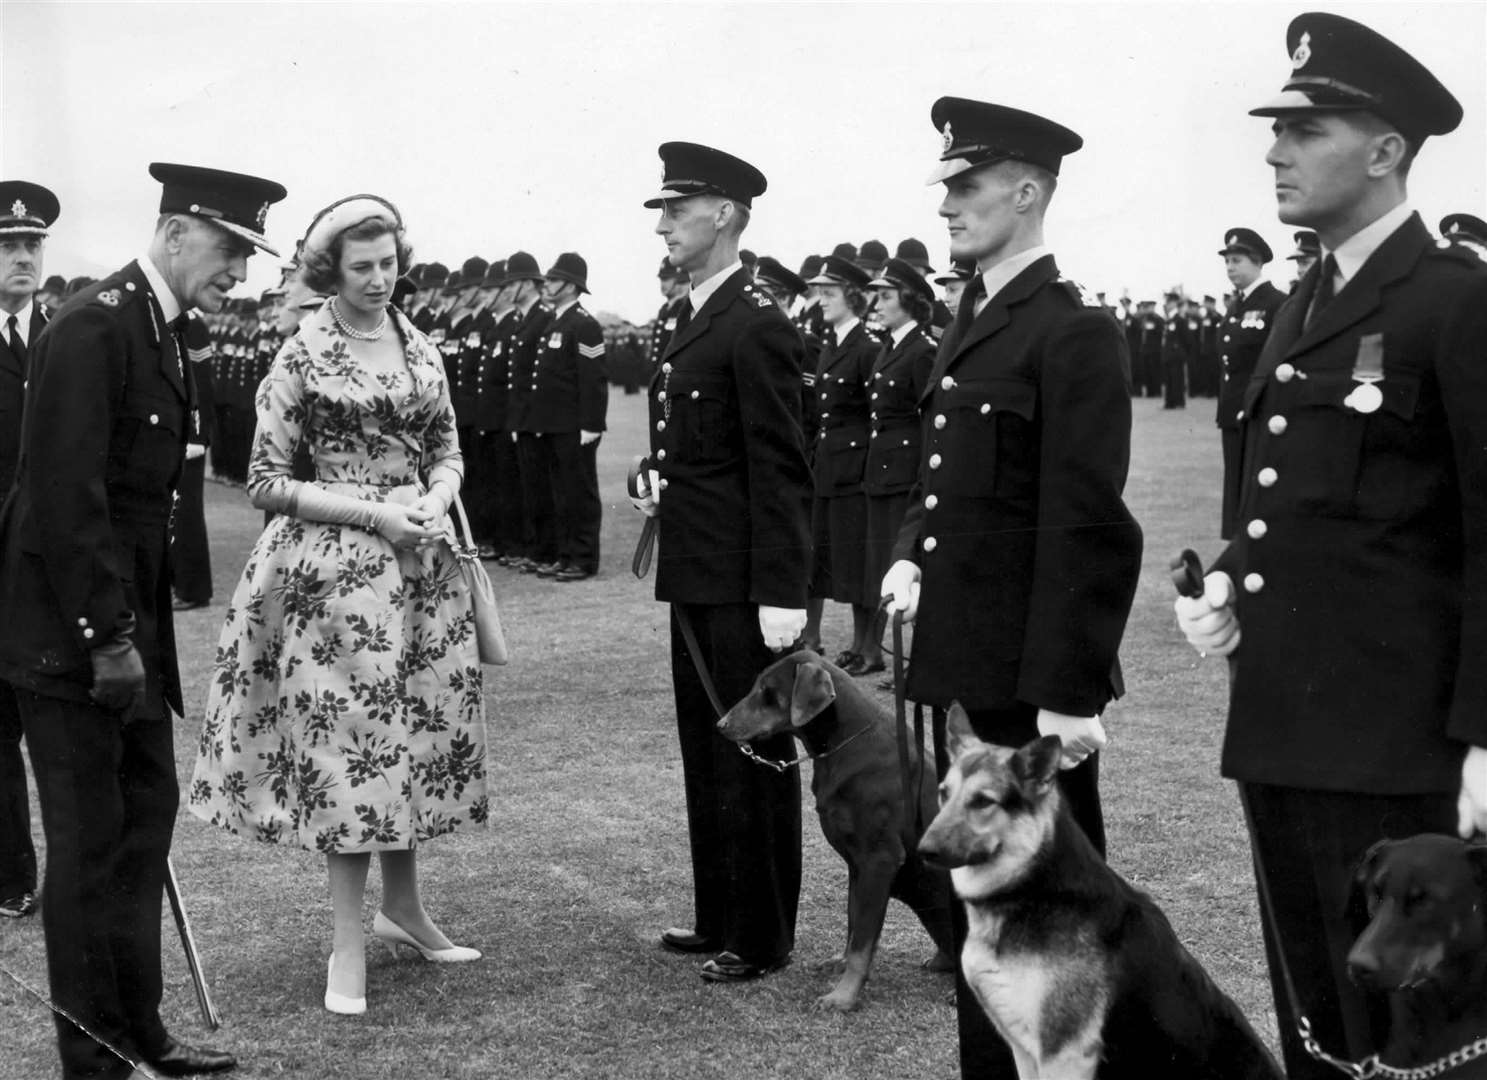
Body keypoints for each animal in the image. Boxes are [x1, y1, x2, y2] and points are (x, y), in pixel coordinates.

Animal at [716, 651, 951, 1017]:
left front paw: (843, 996)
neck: (845, 743)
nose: (721, 724)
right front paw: (839, 964)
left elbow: (863, 941)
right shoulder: (856, 864)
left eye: (767, 692)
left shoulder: (879, 860)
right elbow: (853, 923)